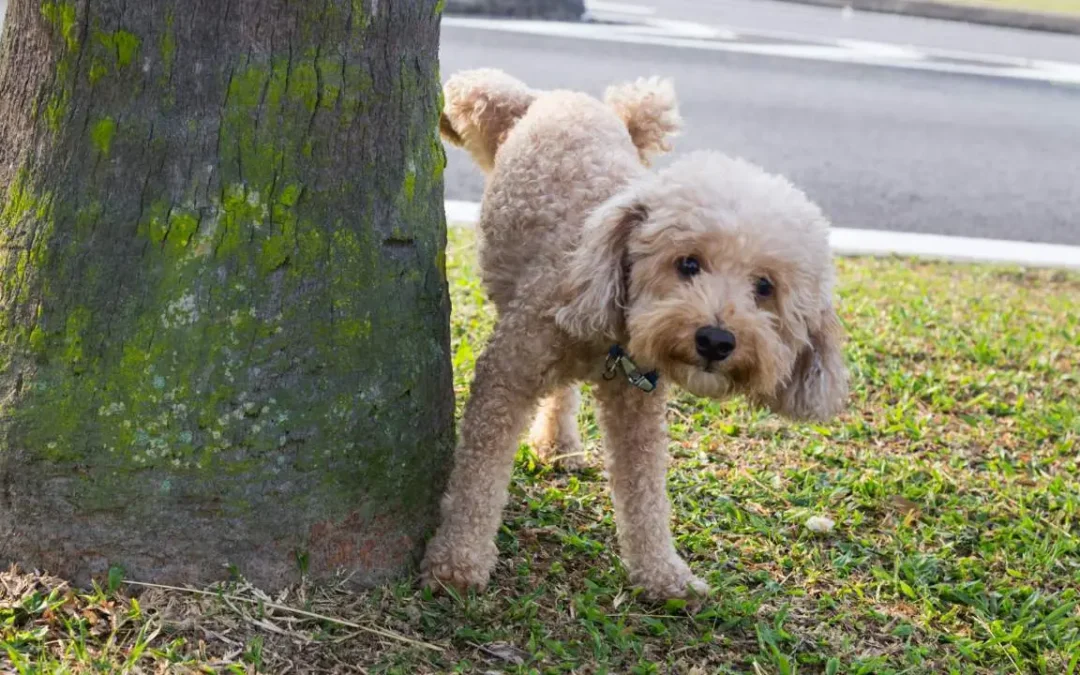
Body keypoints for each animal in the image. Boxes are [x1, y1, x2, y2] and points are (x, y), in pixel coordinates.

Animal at [416, 68, 846, 600]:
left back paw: (559, 444)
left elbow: (645, 492)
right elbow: (479, 474)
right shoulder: (507, 374)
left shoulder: (637, 403)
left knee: (563, 394)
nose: (716, 340)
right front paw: (458, 560)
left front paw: (663, 573)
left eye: (764, 287)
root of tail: (570, 98)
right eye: (688, 263)